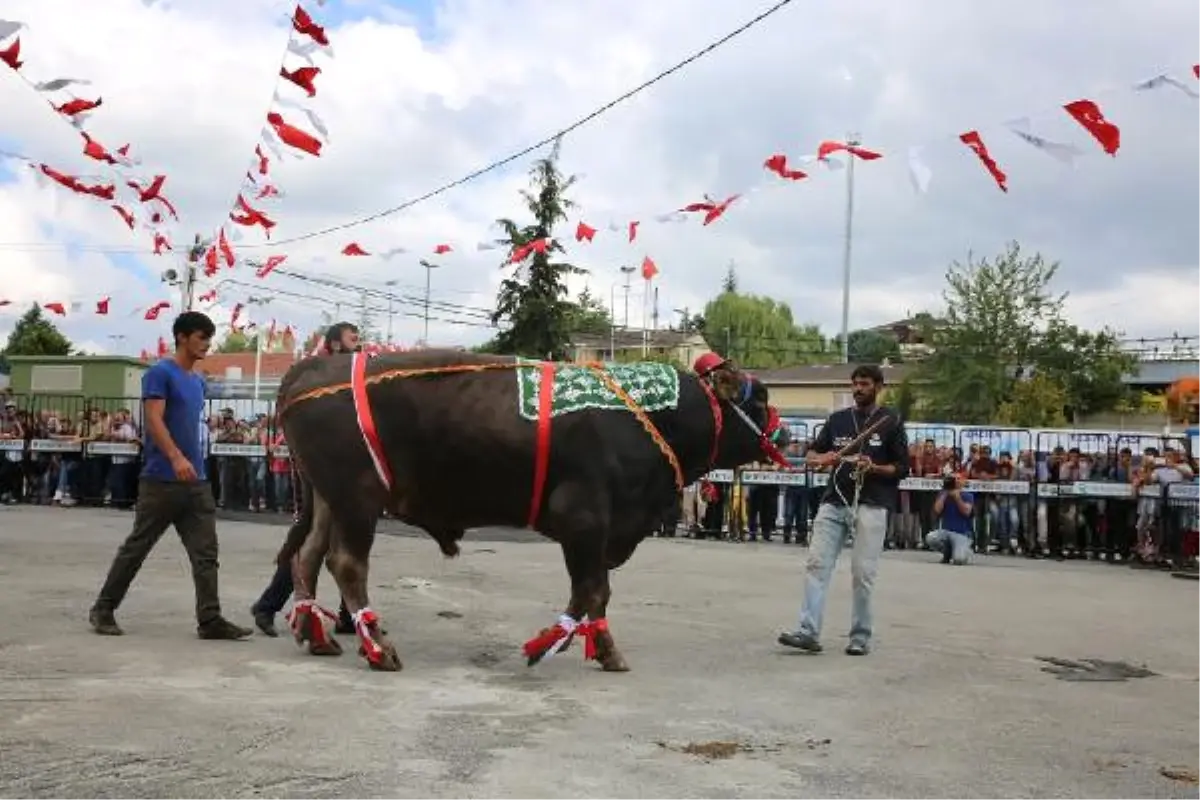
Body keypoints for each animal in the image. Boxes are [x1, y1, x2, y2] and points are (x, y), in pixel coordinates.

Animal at [272, 352, 772, 671]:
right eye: (761, 398)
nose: (782, 435)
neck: (646, 414)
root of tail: (310, 369)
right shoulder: (583, 520)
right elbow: (590, 590)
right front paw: (547, 645)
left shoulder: (603, 531)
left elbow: (599, 594)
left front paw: (605, 650)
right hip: (358, 499)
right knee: (346, 563)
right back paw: (379, 649)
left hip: (327, 499)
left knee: (308, 555)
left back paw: (318, 639)